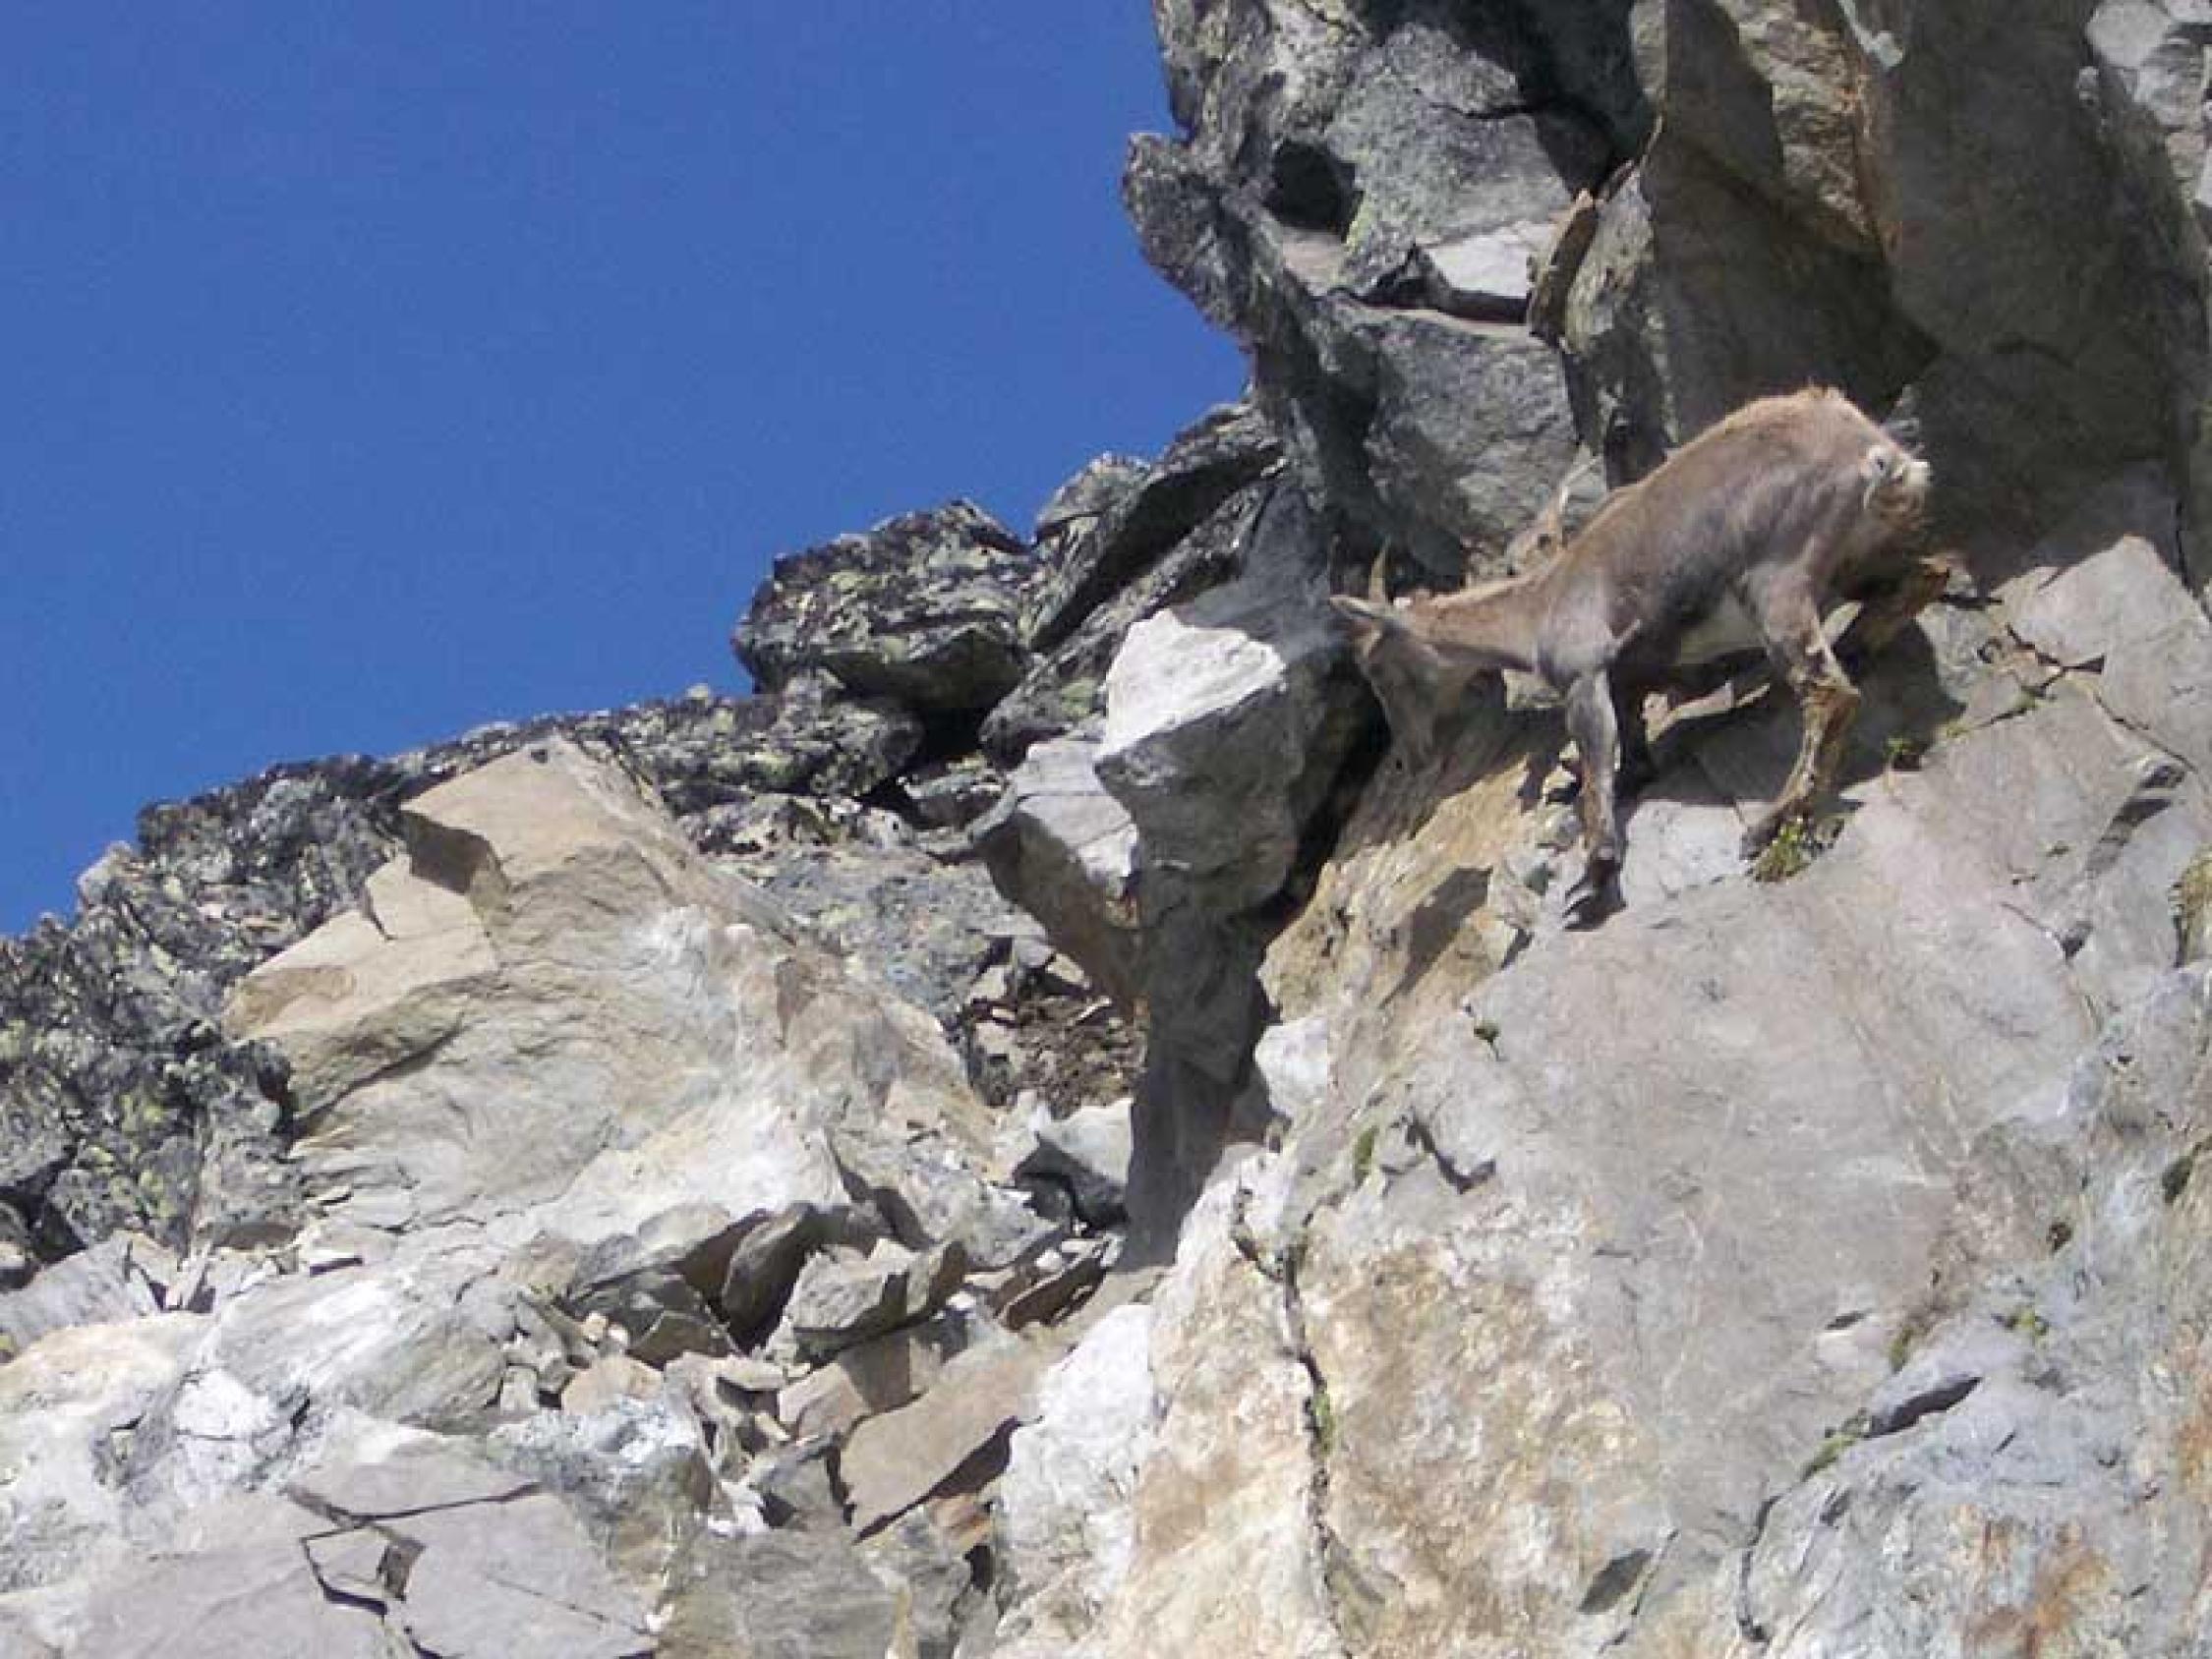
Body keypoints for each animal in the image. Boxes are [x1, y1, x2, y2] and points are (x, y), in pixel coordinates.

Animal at [1334, 388, 1944, 908]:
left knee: (1830, 694)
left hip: (1777, 584)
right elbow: (1629, 750)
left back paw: (1771, 820)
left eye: (1377, 668)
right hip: (1856, 561)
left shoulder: (1584, 675)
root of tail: (1874, 454)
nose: (1412, 758)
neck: (1538, 605)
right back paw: (1860, 644)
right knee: (1925, 576)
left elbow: (1598, 766)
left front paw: (1595, 873)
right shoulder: (1628, 679)